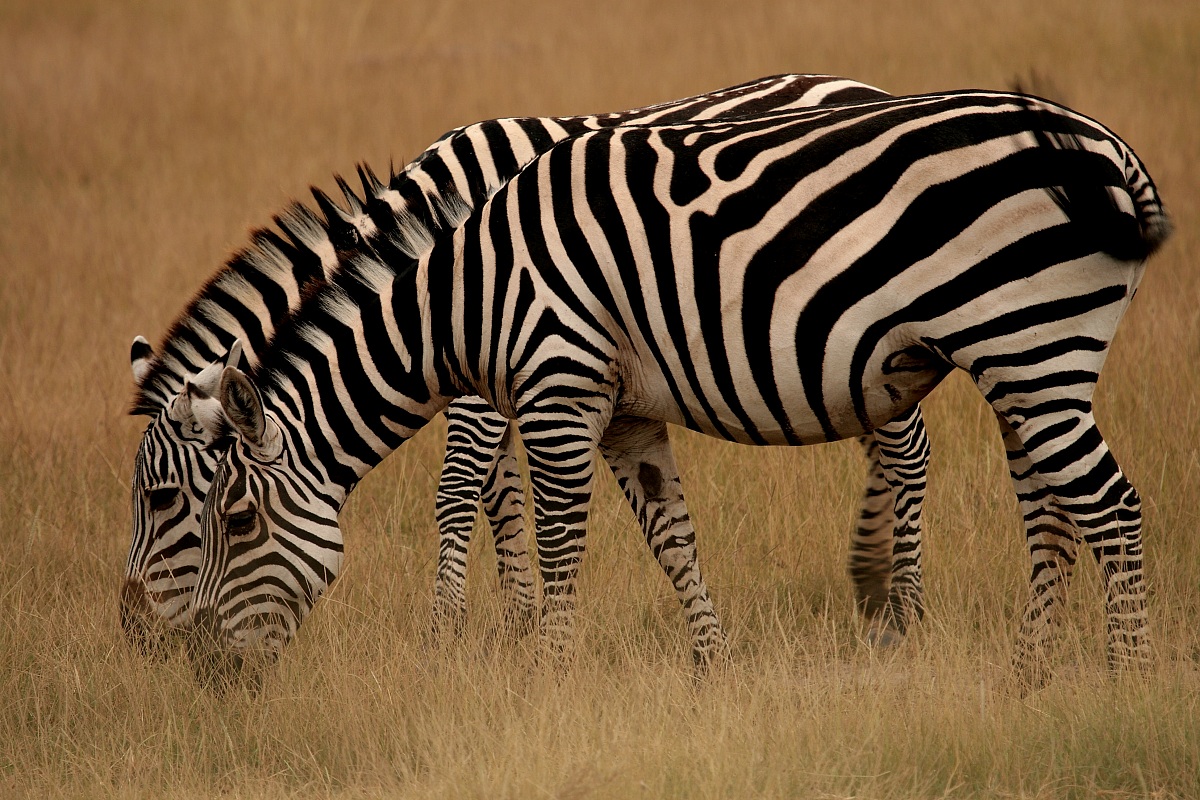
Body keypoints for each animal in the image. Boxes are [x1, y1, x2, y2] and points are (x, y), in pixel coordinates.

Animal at [123, 73, 927, 655]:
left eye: (164, 501)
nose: (133, 637)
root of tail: (860, 84)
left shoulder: (498, 356)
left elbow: (458, 491)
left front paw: (446, 633)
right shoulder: (488, 371)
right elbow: (500, 495)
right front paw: (515, 626)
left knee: (907, 446)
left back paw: (903, 606)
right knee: (877, 436)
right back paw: (871, 580)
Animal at [182, 90, 1169, 688]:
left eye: (233, 520)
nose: (190, 668)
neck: (464, 287)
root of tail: (1110, 148)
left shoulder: (551, 382)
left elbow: (535, 526)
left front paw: (532, 668)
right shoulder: (609, 410)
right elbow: (666, 535)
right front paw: (705, 667)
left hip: (1031, 343)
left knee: (1108, 505)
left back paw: (1117, 674)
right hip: (1017, 361)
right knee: (1045, 508)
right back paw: (1017, 668)